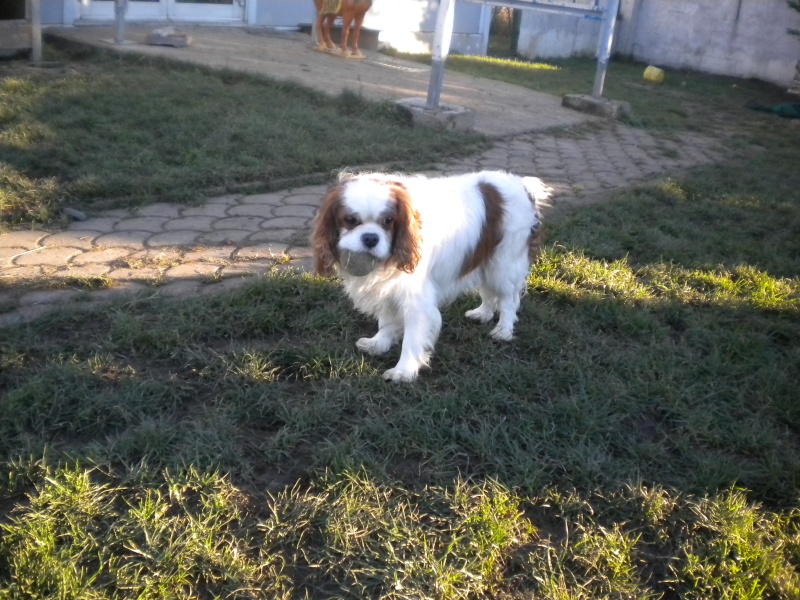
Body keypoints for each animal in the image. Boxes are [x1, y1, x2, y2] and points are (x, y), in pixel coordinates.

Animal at [312, 171, 552, 382]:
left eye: (388, 220)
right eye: (350, 220)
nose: (370, 238)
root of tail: (522, 184)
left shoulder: (416, 301)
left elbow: (411, 339)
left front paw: (403, 371)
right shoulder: (387, 288)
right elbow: (386, 321)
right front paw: (379, 344)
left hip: (504, 264)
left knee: (509, 300)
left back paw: (503, 331)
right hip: (485, 257)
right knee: (488, 292)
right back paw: (482, 313)